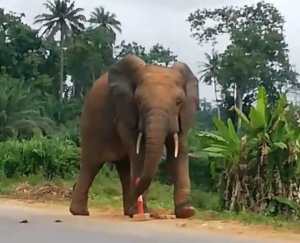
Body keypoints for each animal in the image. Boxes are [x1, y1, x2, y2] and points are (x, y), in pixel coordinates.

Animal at [69, 54, 198, 218]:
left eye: (178, 102)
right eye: (139, 101)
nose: (155, 213)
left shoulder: (181, 117)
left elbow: (178, 151)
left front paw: (187, 211)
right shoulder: (126, 112)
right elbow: (140, 152)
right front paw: (141, 211)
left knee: (123, 167)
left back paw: (128, 211)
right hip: (90, 126)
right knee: (91, 164)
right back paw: (82, 212)